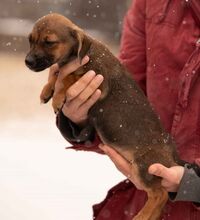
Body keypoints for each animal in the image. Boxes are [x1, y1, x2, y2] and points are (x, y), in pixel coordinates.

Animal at [25, 14, 183, 220]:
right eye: (30, 40)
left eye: (49, 42)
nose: (27, 61)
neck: (82, 54)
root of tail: (173, 154)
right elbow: (57, 73)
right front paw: (46, 90)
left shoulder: (99, 80)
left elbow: (67, 78)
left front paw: (58, 97)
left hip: (144, 166)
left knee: (160, 195)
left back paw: (141, 215)